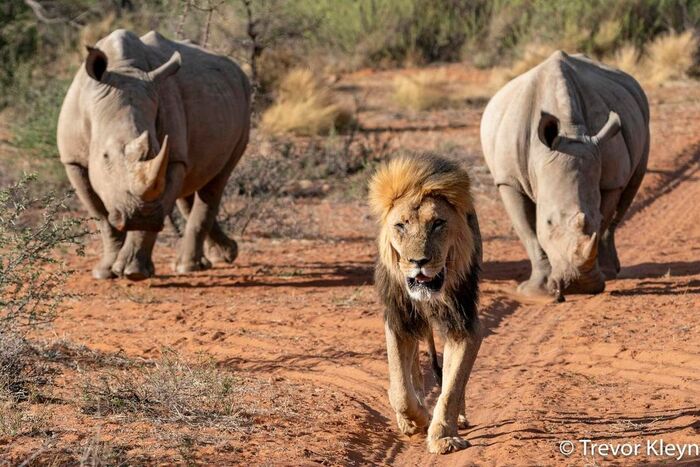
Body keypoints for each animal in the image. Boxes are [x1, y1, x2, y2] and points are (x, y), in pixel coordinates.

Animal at [370, 155, 484, 456]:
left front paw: (444, 436)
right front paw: (416, 419)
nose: (418, 261)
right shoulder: (399, 320)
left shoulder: (464, 325)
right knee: (413, 373)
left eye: (437, 224)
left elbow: (452, 387)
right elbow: (400, 390)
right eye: (400, 226)